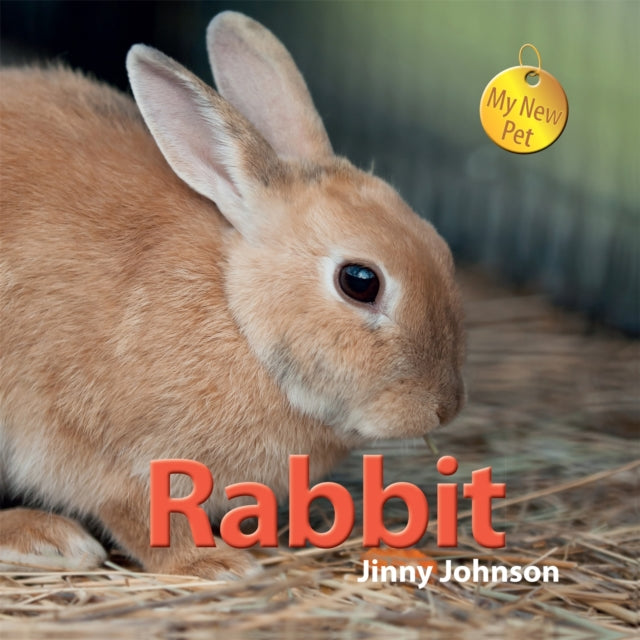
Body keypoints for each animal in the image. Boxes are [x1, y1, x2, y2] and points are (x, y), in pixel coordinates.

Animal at [0, 11, 465, 578]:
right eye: (360, 281)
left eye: (440, 247)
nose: (444, 409)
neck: (239, 316)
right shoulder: (105, 455)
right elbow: (144, 519)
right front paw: (216, 564)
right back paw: (48, 539)